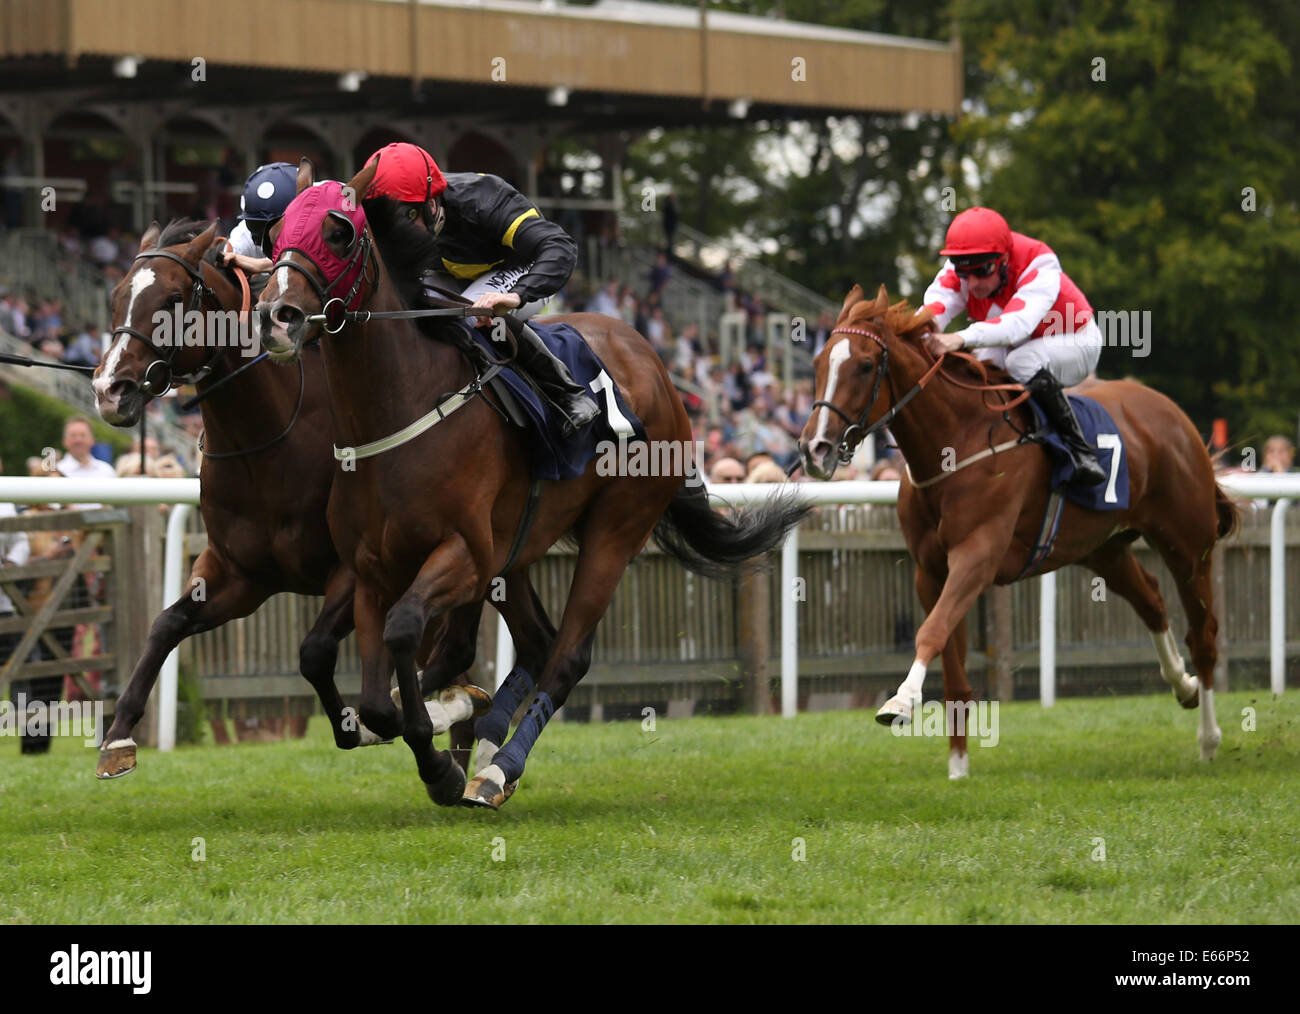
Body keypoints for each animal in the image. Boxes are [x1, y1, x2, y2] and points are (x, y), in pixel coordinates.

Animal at [90, 219, 488, 774]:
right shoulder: (242, 575)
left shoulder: (351, 569)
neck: (270, 439)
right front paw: (119, 737)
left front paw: (363, 724)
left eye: (171, 298)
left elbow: (315, 652)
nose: (111, 390)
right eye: (116, 296)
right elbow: (166, 624)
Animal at [250, 158, 800, 806]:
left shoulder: (463, 553)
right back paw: (485, 745)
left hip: (614, 530)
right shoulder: (370, 566)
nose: (275, 317)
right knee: (536, 641)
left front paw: (440, 755)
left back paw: (495, 767)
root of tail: (658, 365)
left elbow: (407, 635)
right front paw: (416, 725)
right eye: (276, 234)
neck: (398, 409)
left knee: (567, 655)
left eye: (338, 233)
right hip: (517, 549)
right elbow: (370, 688)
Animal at [790, 284, 1237, 774]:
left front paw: (901, 703)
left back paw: (1210, 739)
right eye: (818, 363)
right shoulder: (930, 569)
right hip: (1103, 548)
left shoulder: (977, 556)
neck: (956, 443)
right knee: (1152, 600)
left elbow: (932, 631)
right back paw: (1184, 685)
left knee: (1204, 634)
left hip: (1187, 543)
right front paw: (958, 768)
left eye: (866, 365)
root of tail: (1174, 415)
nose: (815, 448)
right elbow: (953, 668)